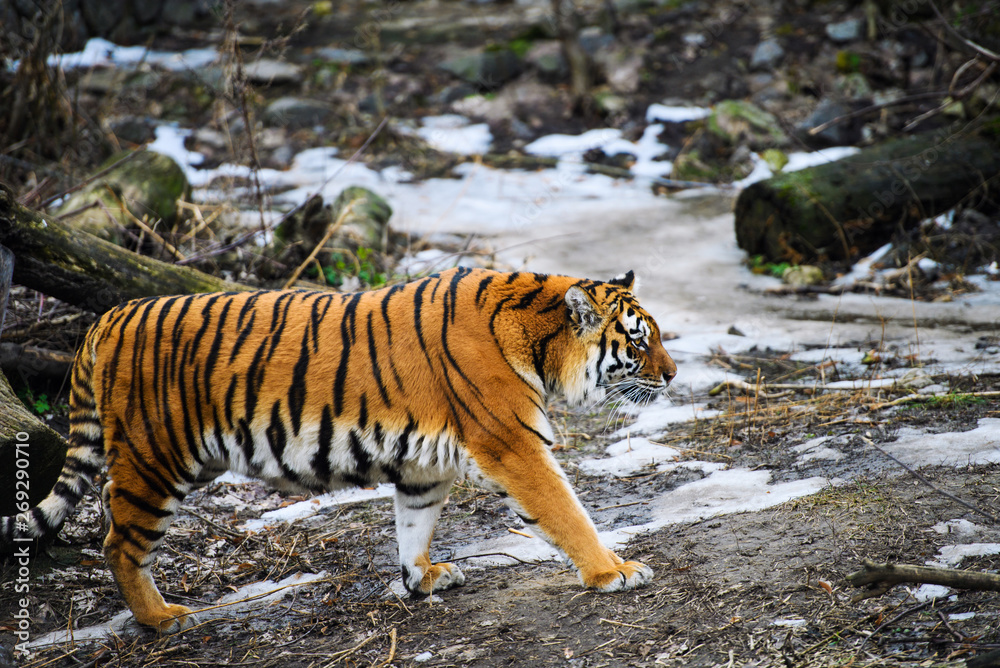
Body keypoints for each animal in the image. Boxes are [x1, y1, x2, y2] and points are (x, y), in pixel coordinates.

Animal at [1, 267, 676, 633]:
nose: (672, 375)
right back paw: (161, 617)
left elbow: (413, 523)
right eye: (639, 342)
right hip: (155, 461)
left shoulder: (425, 465)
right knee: (118, 541)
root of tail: (106, 318)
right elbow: (566, 511)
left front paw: (421, 577)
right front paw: (613, 571)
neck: (537, 338)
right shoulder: (513, 445)